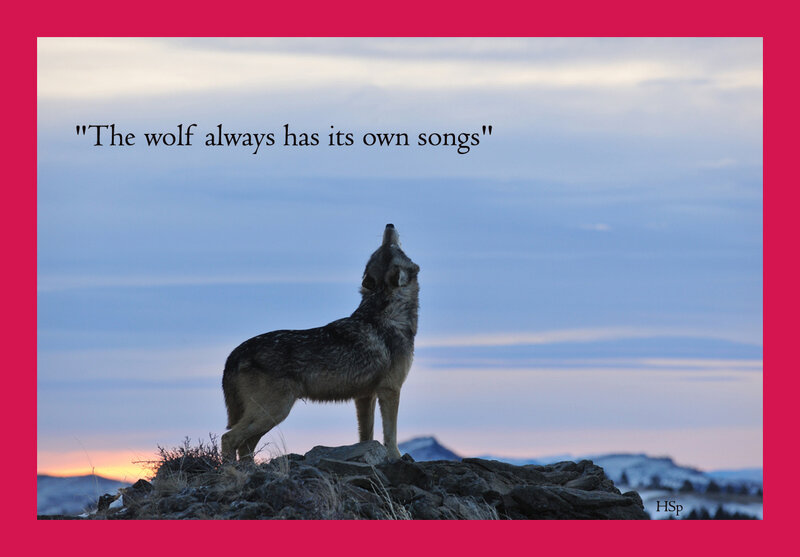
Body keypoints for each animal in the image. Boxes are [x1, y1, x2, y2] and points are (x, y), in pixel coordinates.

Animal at [221, 224, 419, 462]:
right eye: (390, 247)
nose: (389, 225)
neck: (388, 312)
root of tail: (233, 355)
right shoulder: (390, 389)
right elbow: (391, 433)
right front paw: (396, 457)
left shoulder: (364, 396)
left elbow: (366, 435)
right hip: (274, 411)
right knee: (228, 438)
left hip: (269, 416)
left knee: (244, 446)